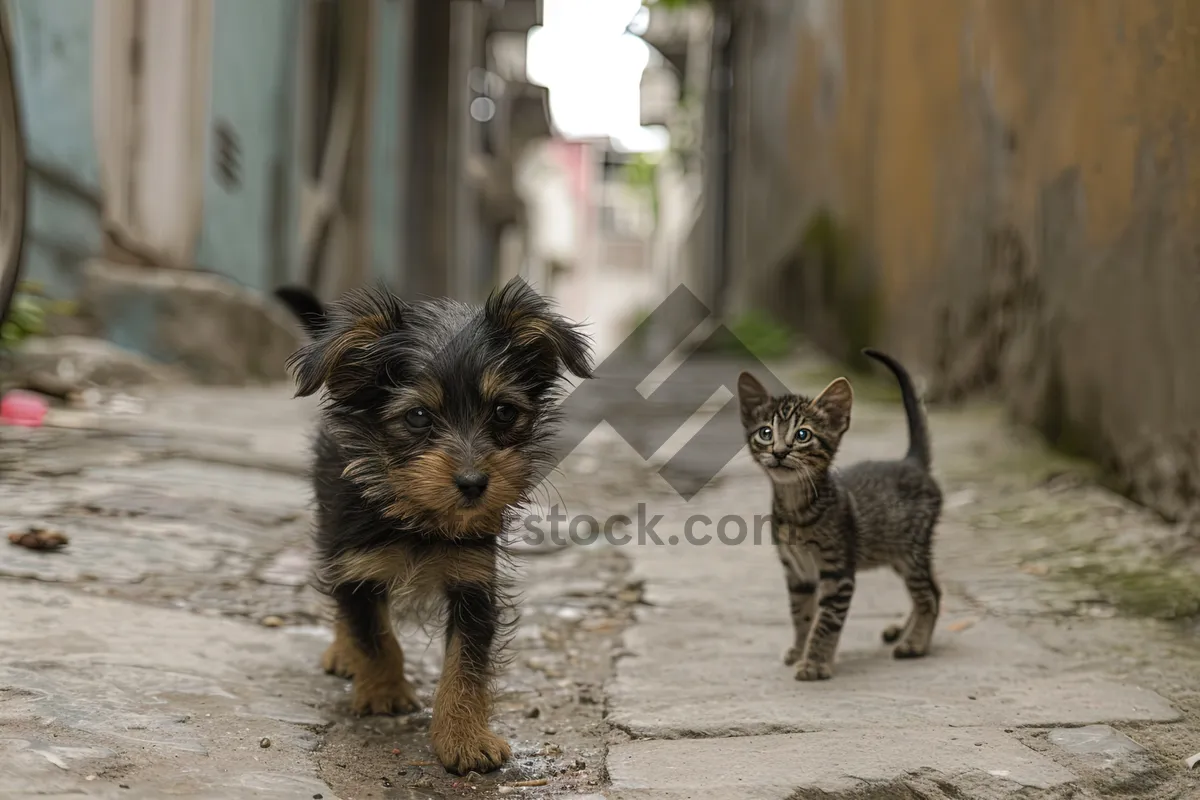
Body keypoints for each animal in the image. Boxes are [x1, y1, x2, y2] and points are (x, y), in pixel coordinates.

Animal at [273, 281, 590, 777]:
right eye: (418, 417)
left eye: (504, 412)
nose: (474, 483)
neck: (417, 514)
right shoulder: (356, 564)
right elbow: (373, 632)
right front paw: (384, 690)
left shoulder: (474, 581)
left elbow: (466, 664)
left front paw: (464, 737)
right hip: (329, 529)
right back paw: (344, 654)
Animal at [734, 350, 940, 681]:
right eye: (765, 433)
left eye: (802, 435)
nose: (779, 451)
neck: (796, 510)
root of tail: (912, 462)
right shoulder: (797, 572)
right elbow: (802, 615)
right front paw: (800, 649)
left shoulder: (838, 572)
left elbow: (826, 621)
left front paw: (815, 663)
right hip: (896, 552)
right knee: (935, 589)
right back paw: (903, 631)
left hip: (912, 550)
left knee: (929, 595)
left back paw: (915, 644)